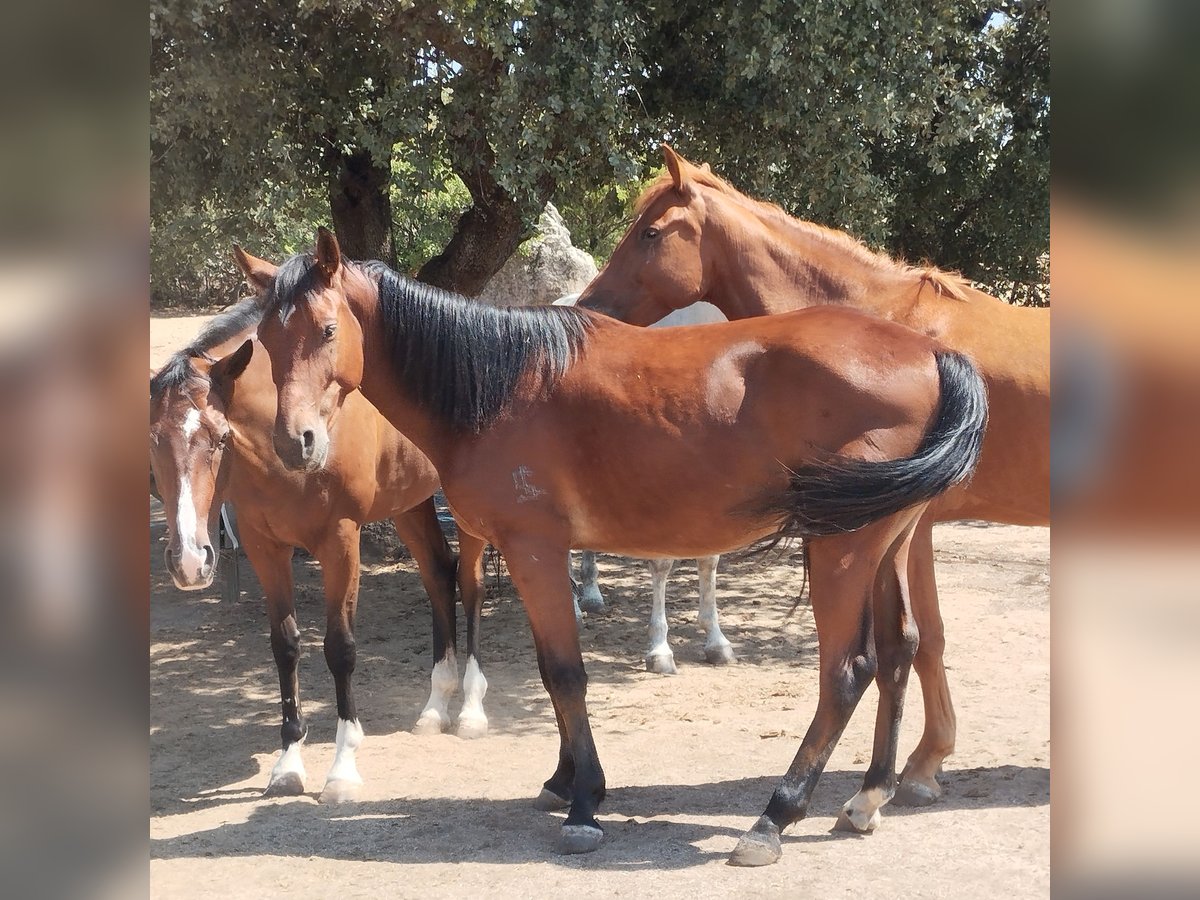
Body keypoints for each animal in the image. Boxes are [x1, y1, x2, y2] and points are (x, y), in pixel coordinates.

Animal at [152, 282, 489, 801]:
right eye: (153, 440)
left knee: (470, 584)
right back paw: (435, 707)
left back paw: (471, 710)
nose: (189, 561)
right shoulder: (264, 546)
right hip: (409, 503)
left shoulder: (340, 541)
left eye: (220, 437)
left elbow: (340, 648)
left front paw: (343, 768)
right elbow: (285, 645)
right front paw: (288, 763)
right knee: (438, 574)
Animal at [243, 232, 984, 868]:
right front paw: (565, 780)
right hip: (888, 544)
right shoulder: (530, 557)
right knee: (899, 650)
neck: (500, 384)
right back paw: (868, 798)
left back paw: (774, 817)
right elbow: (551, 674)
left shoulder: (536, 551)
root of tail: (928, 353)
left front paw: (583, 807)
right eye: (267, 343)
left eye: (328, 330)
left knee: (846, 672)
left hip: (841, 551)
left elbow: (567, 674)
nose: (295, 443)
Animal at [576, 146, 1046, 811]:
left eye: (650, 233)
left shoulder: (909, 529)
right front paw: (912, 770)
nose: (590, 308)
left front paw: (918, 768)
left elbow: (919, 640)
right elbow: (915, 641)